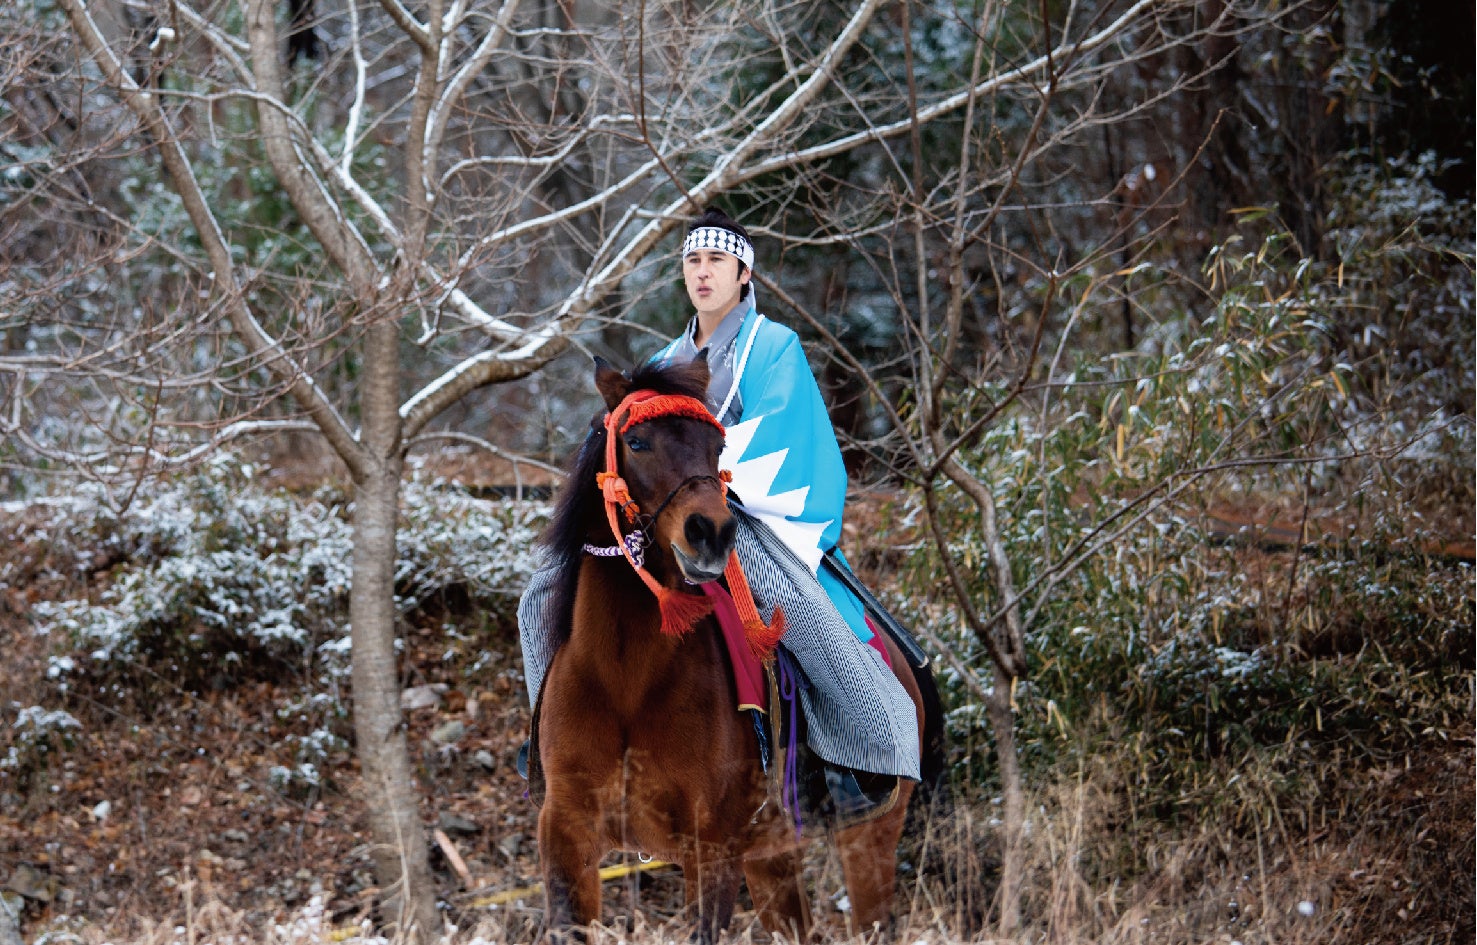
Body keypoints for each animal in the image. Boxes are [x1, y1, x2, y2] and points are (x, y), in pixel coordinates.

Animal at [532, 356, 942, 943]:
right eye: (636, 442)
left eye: (718, 445)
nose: (711, 532)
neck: (625, 677)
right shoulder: (568, 832)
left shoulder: (712, 844)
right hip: (771, 855)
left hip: (870, 835)